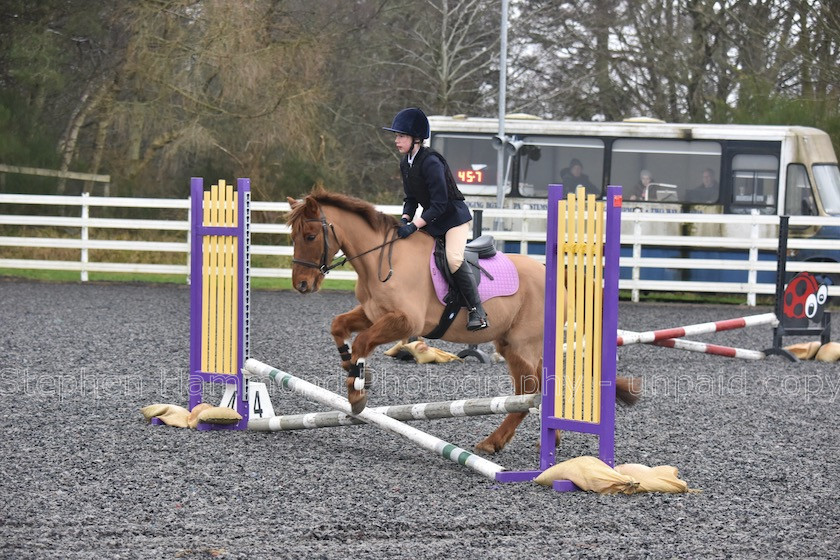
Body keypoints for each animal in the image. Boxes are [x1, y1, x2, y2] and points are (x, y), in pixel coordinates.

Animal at [286, 188, 632, 456]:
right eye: (293, 237)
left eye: (311, 236)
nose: (301, 285)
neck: (381, 261)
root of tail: (551, 271)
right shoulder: (372, 314)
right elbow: (339, 326)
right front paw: (352, 369)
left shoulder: (405, 322)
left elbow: (362, 340)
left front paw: (357, 394)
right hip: (513, 346)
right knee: (534, 387)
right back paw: (526, 441)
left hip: (524, 345)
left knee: (532, 389)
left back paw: (495, 442)